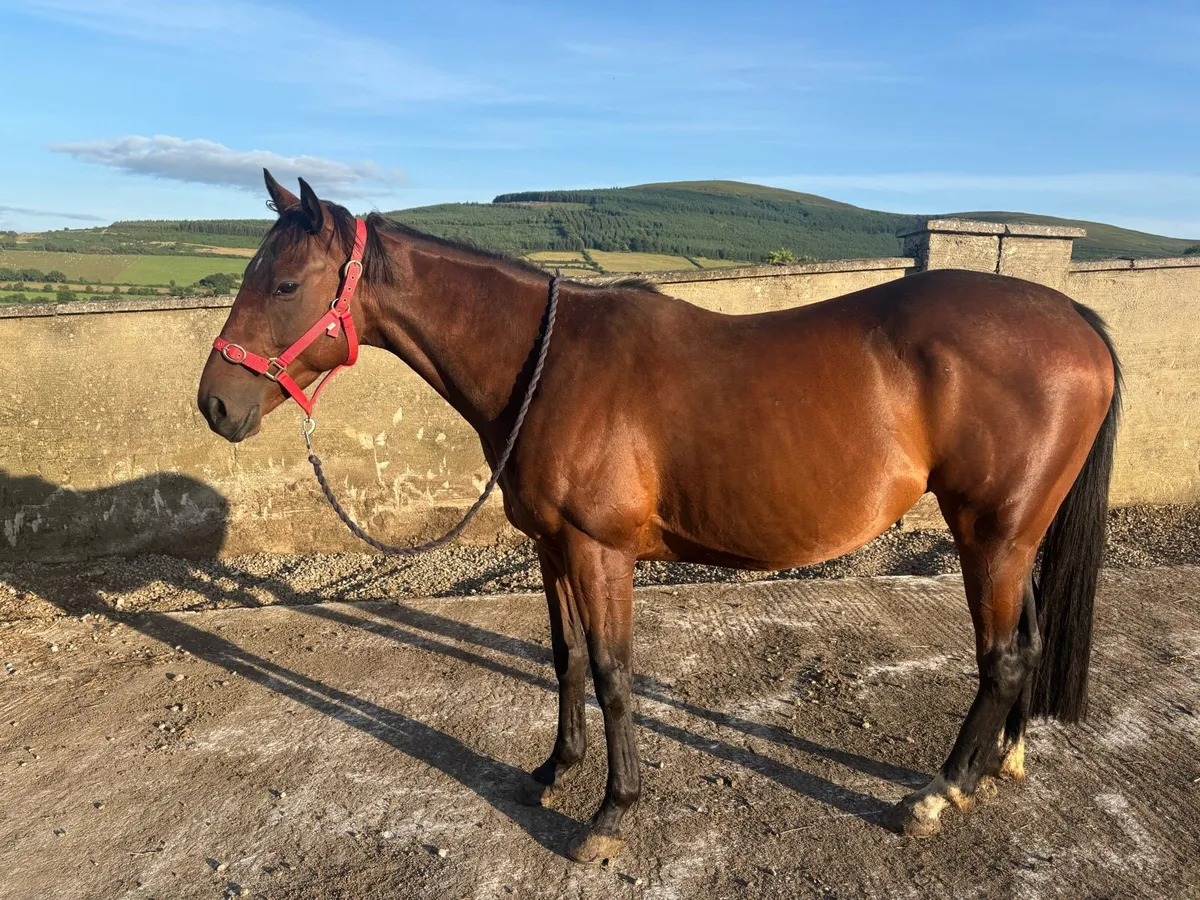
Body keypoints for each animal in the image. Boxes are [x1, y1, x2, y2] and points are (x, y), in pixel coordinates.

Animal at [197, 171, 1121, 863]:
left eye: (284, 283)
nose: (215, 404)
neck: (549, 363)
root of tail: (1073, 318)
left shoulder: (601, 551)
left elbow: (613, 673)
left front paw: (612, 812)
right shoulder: (554, 549)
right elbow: (567, 659)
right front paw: (554, 768)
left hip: (990, 535)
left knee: (1002, 658)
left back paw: (936, 794)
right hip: (1014, 537)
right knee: (1027, 644)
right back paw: (1000, 765)